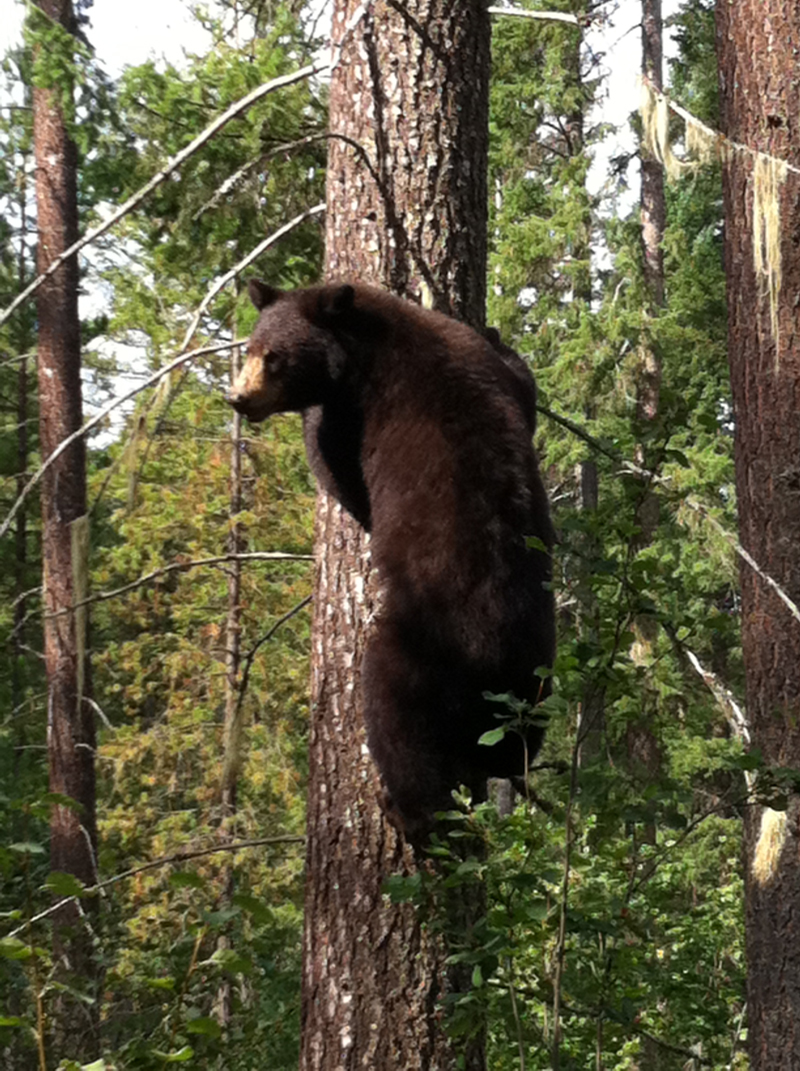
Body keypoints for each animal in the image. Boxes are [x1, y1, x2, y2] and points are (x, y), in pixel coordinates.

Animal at [228, 278, 552, 843]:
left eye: (274, 358)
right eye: (249, 350)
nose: (238, 399)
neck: (371, 337)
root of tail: (485, 651)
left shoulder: (353, 418)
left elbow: (336, 473)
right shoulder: (479, 360)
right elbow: (521, 383)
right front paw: (499, 333)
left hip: (414, 651)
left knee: (401, 731)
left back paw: (408, 812)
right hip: (535, 668)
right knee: (517, 744)